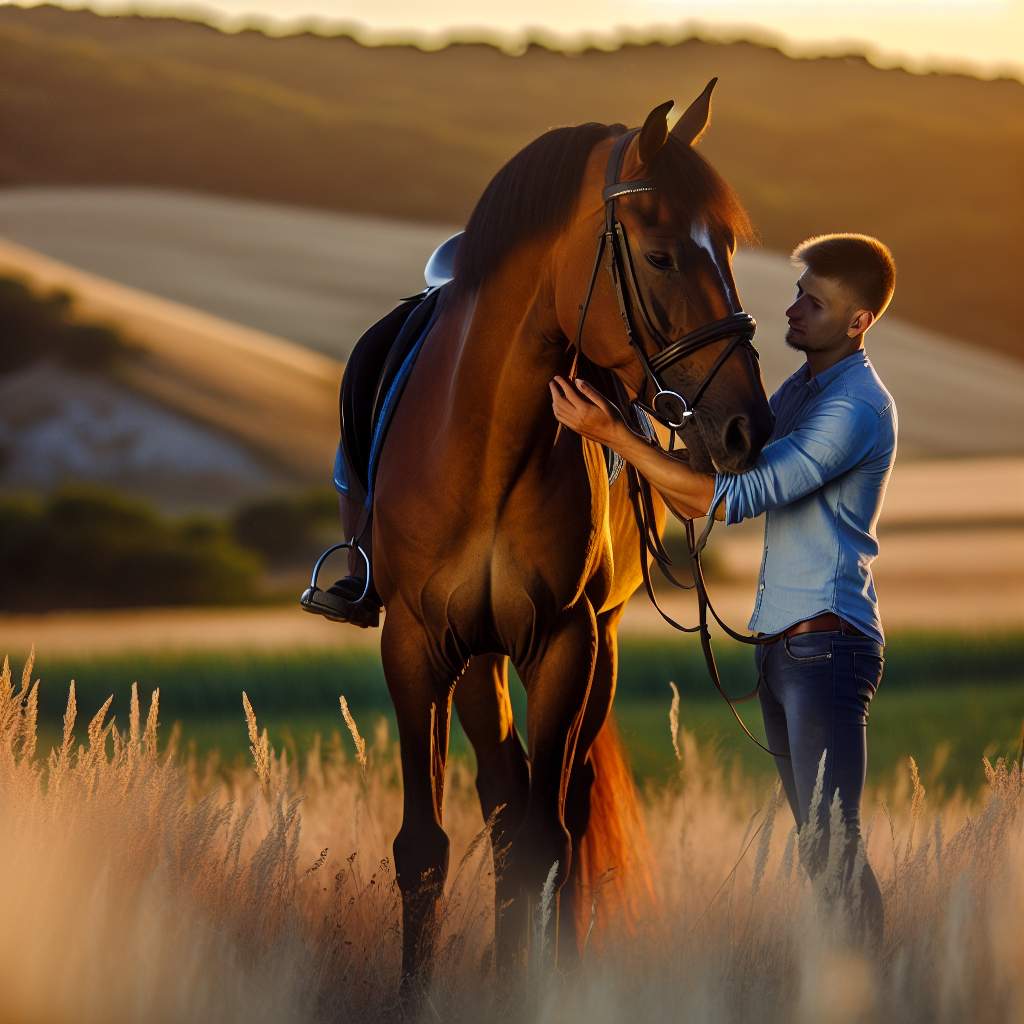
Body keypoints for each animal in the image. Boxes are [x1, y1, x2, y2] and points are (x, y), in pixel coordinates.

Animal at [339, 86, 770, 983]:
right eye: (661, 256)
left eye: (727, 247)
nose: (748, 428)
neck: (486, 447)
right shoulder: (417, 646)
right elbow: (424, 848)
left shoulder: (567, 642)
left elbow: (549, 842)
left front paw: (537, 985)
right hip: (476, 658)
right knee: (504, 803)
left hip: (593, 646)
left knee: (558, 812)